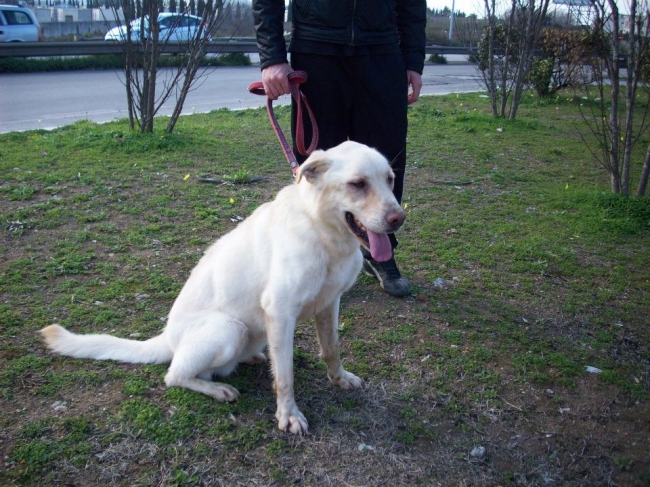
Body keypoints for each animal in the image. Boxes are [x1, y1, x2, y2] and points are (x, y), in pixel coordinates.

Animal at [39, 141, 404, 434]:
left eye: (390, 179)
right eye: (357, 184)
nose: (399, 218)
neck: (322, 233)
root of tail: (167, 337)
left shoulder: (329, 304)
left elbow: (331, 349)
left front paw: (339, 379)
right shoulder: (280, 312)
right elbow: (285, 376)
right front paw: (288, 414)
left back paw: (254, 357)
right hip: (230, 329)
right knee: (175, 374)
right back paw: (216, 389)